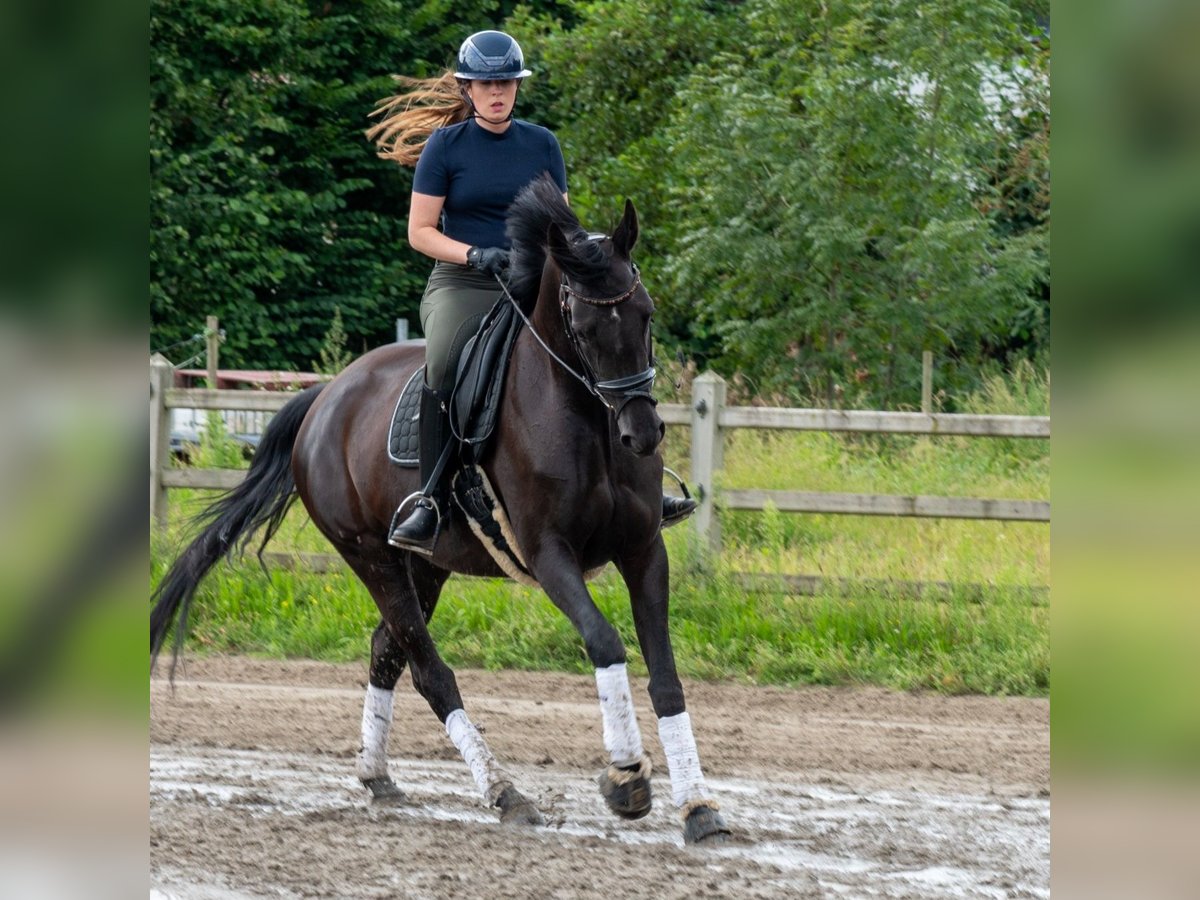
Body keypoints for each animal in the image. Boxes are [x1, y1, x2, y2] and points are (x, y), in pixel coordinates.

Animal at [150, 174, 729, 844]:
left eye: (647, 315)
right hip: (370, 555)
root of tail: (325, 396)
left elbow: (666, 673)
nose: (641, 433)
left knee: (387, 650)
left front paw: (699, 808)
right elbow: (605, 642)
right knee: (428, 670)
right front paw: (627, 779)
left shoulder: (643, 550)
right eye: (582, 327)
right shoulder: (548, 554)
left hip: (426, 565)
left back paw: (378, 777)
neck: (588, 423)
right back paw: (505, 794)